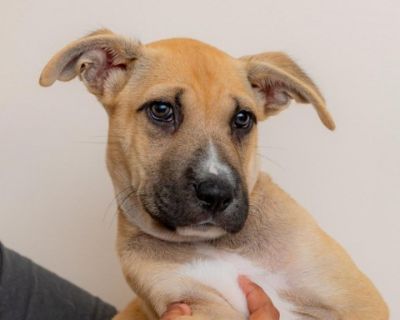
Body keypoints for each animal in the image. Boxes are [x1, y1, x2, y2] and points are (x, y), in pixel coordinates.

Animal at [39, 28, 390, 318]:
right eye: (162, 110)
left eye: (243, 119)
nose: (218, 194)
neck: (216, 245)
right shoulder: (194, 304)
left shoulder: (357, 300)